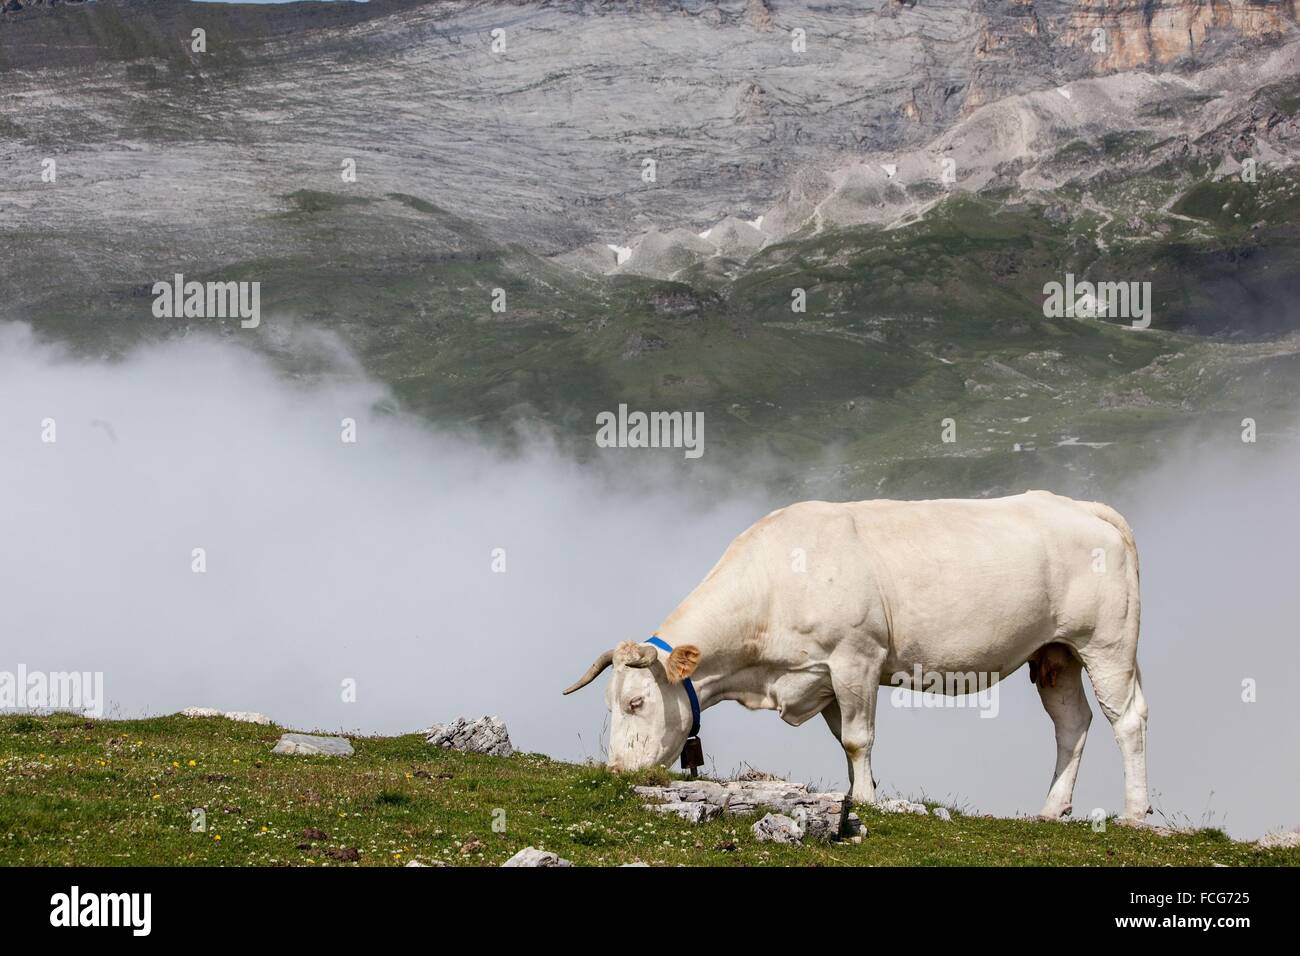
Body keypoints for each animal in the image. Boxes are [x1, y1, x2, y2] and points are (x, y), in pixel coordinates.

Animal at [564, 494, 1154, 822]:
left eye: (636, 702)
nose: (616, 773)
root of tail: (1080, 506)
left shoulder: (857, 657)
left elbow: (857, 738)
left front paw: (866, 802)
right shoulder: (821, 679)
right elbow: (843, 741)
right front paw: (859, 791)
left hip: (1106, 643)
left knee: (1127, 719)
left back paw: (1134, 813)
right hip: (1055, 652)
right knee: (1071, 723)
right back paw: (1051, 810)